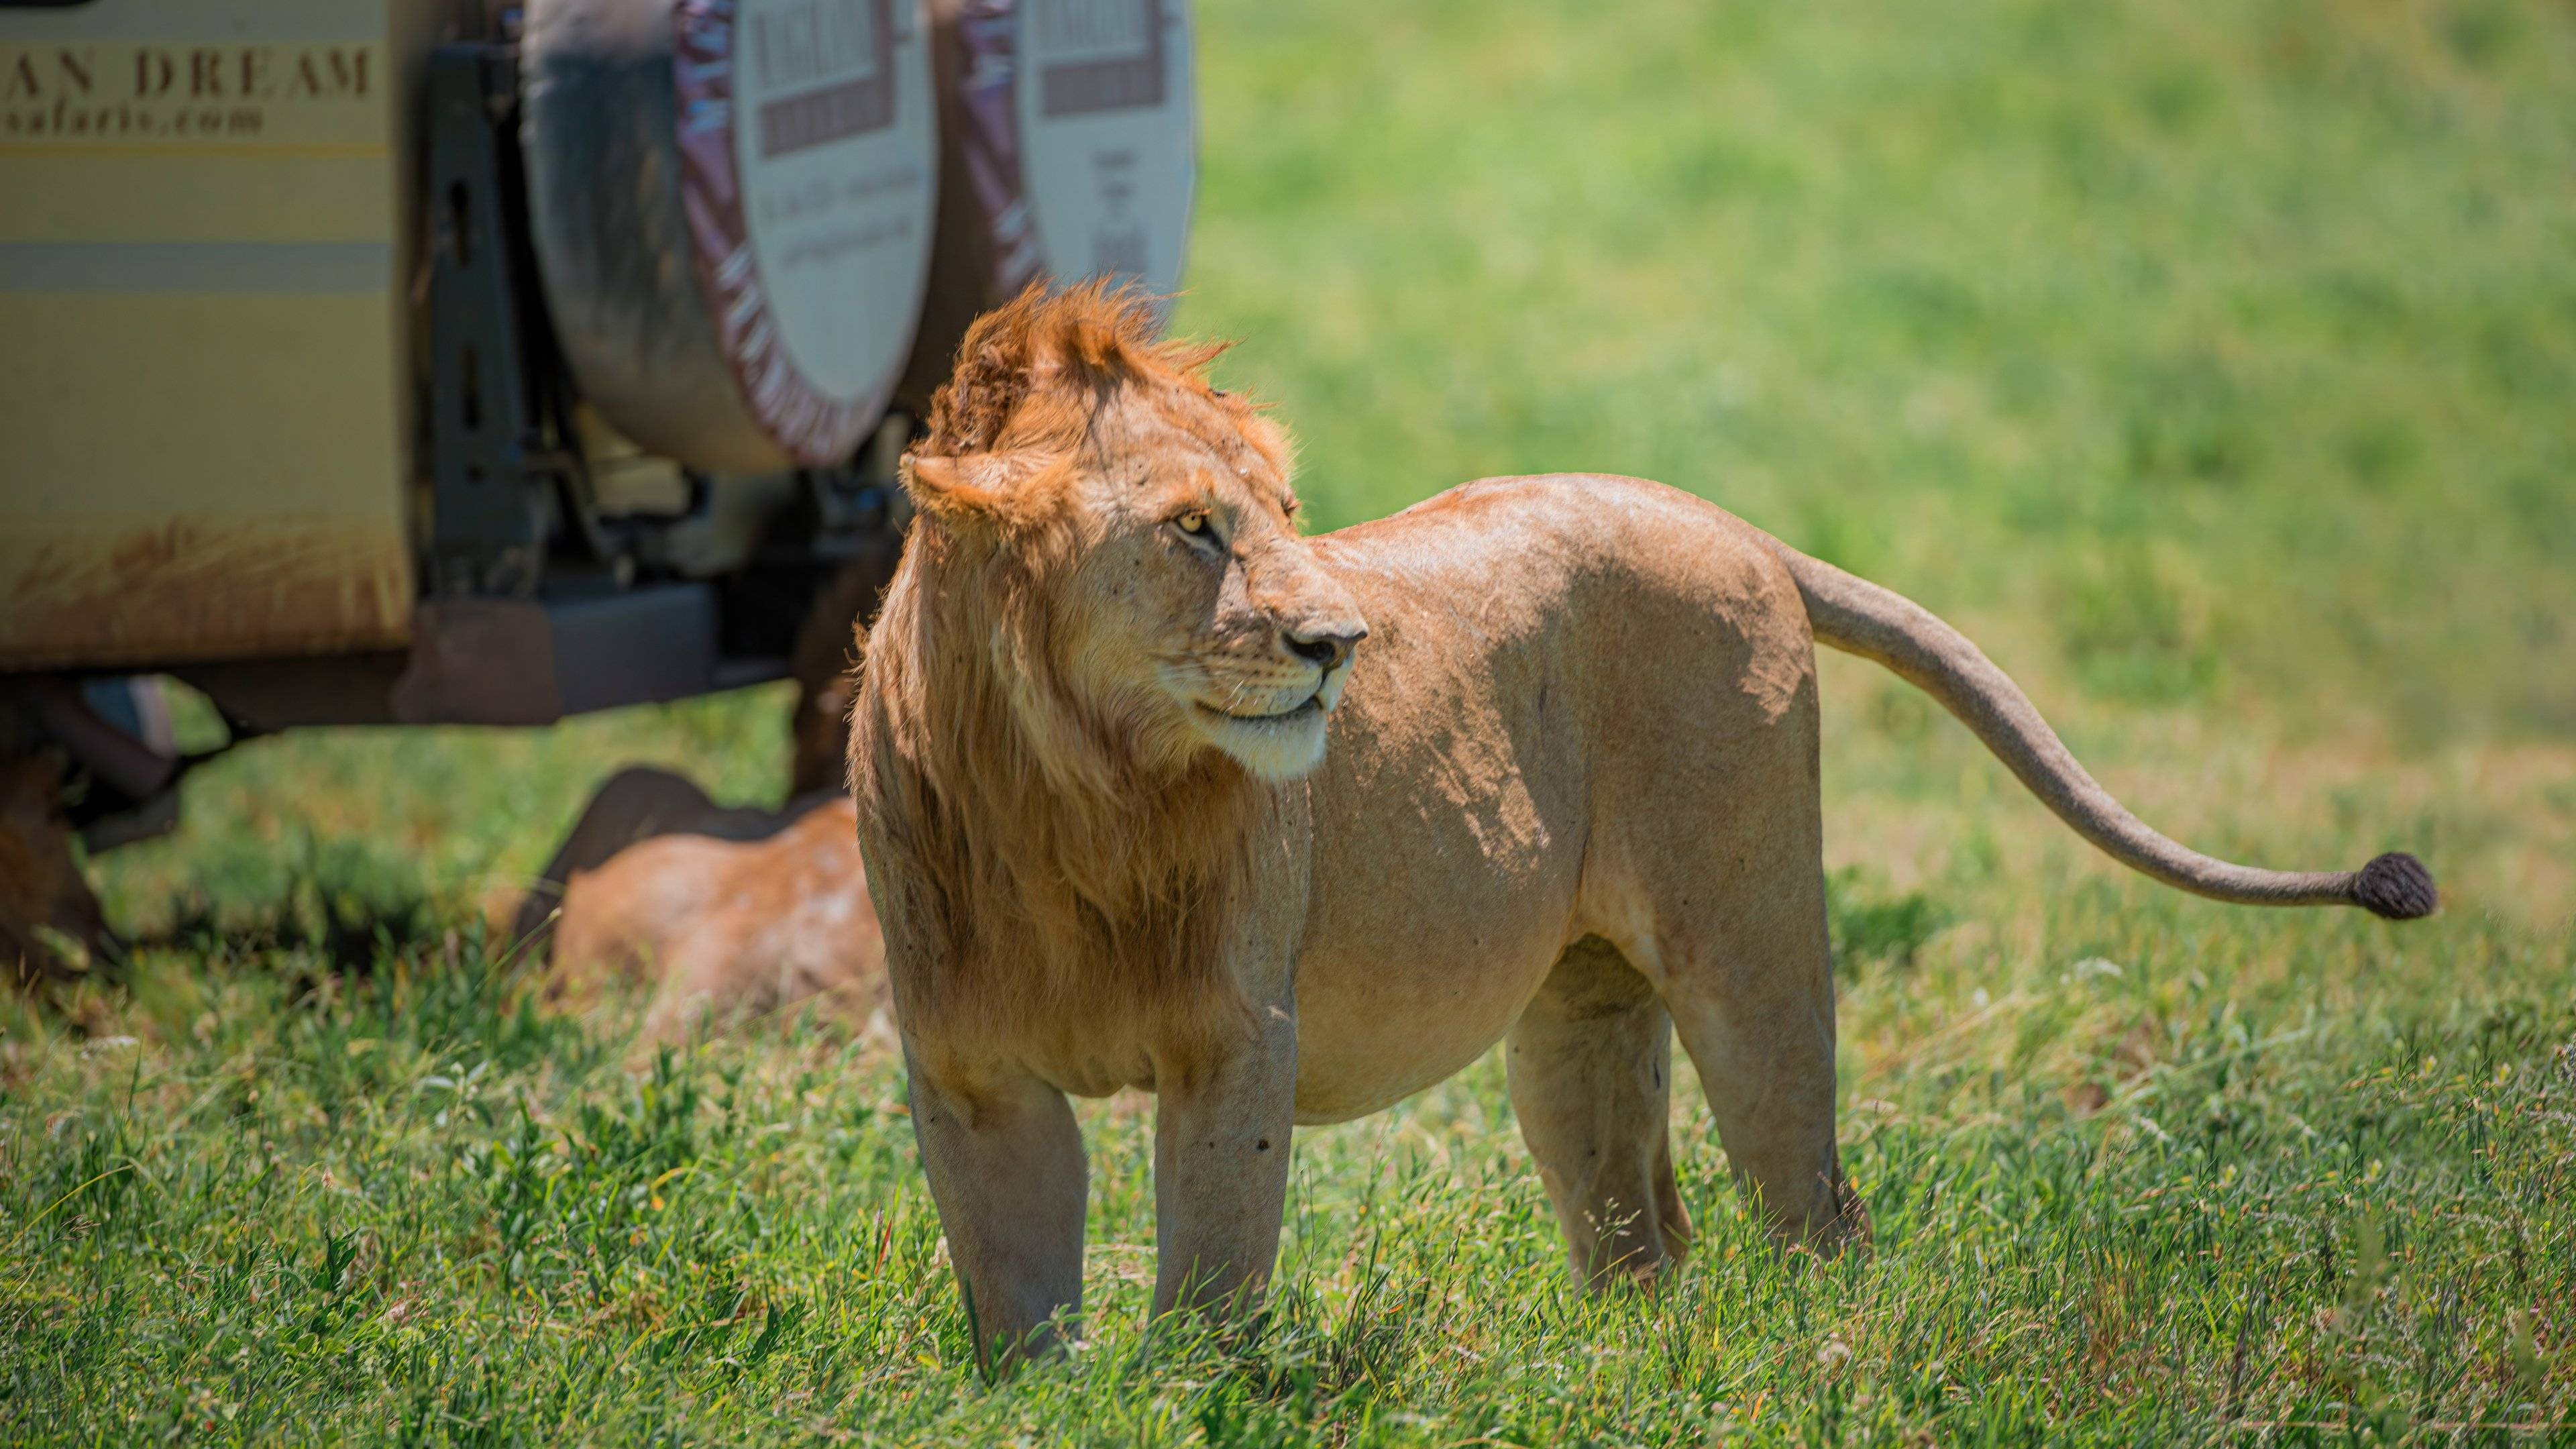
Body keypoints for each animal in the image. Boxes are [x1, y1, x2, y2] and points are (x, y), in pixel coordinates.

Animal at [850, 284, 2431, 1361]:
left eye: (1288, 512)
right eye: (1192, 527)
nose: (1340, 642)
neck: (1068, 794)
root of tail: (1729, 520)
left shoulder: (1238, 1045)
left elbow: (1207, 1289)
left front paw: (1191, 1399)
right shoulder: (973, 1076)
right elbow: (1015, 1309)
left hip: (1753, 948)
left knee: (1815, 1210)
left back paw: (1823, 1364)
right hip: (1579, 1014)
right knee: (1641, 1238)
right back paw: (1625, 1375)